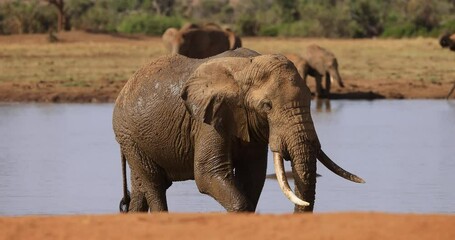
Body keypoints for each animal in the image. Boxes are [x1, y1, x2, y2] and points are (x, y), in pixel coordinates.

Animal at [112, 47, 366, 213]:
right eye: (267, 106)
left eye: (310, 100)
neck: (247, 67)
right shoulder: (208, 119)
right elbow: (208, 174)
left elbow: (253, 175)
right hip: (127, 133)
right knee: (154, 184)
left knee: (142, 187)